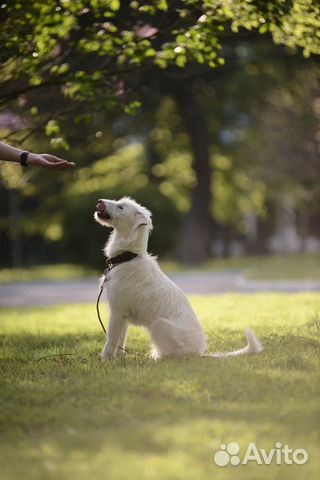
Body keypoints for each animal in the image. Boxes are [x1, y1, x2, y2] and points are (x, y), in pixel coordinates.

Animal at [93, 196, 262, 360]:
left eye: (121, 207)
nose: (99, 201)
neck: (128, 257)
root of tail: (200, 353)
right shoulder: (124, 316)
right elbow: (120, 340)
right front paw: (119, 357)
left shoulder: (117, 312)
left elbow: (111, 340)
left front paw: (106, 359)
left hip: (158, 324)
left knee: (170, 355)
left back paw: (155, 358)